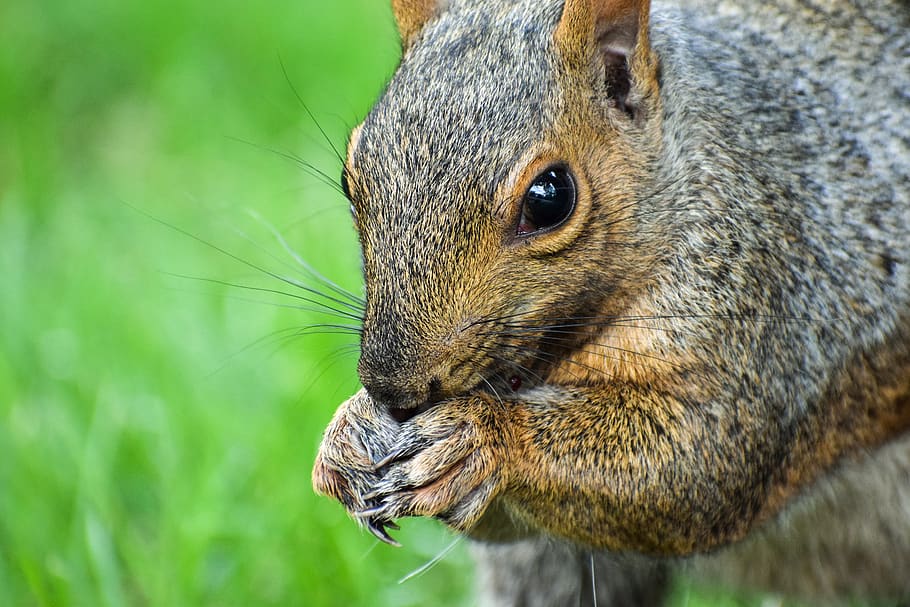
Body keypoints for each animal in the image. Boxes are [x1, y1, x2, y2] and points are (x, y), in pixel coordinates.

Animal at [312, 0, 910, 604]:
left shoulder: (780, 314)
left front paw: (478, 436)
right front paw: (347, 435)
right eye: (348, 177)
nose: (392, 392)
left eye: (550, 197)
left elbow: (699, 465)